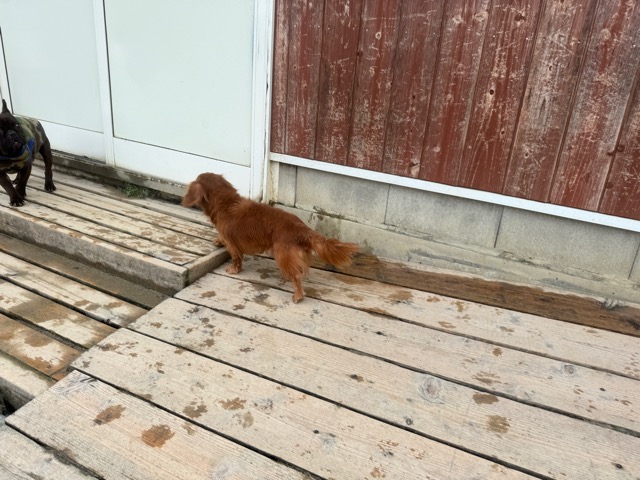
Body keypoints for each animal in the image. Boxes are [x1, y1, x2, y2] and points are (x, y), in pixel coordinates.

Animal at [183, 172, 359, 303]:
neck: (226, 203)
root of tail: (301, 228)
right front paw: (218, 241)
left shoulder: (233, 245)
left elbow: (236, 258)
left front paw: (234, 269)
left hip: (282, 254)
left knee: (296, 277)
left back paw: (298, 295)